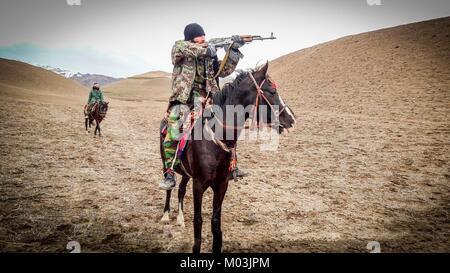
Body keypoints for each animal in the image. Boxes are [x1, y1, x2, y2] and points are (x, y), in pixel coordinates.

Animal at [158, 62, 296, 253]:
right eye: (272, 91)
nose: (292, 119)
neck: (215, 140)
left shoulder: (222, 185)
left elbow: (216, 223)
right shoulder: (198, 185)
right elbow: (198, 221)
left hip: (186, 172)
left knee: (181, 190)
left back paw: (180, 219)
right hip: (166, 164)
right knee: (170, 187)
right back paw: (165, 215)